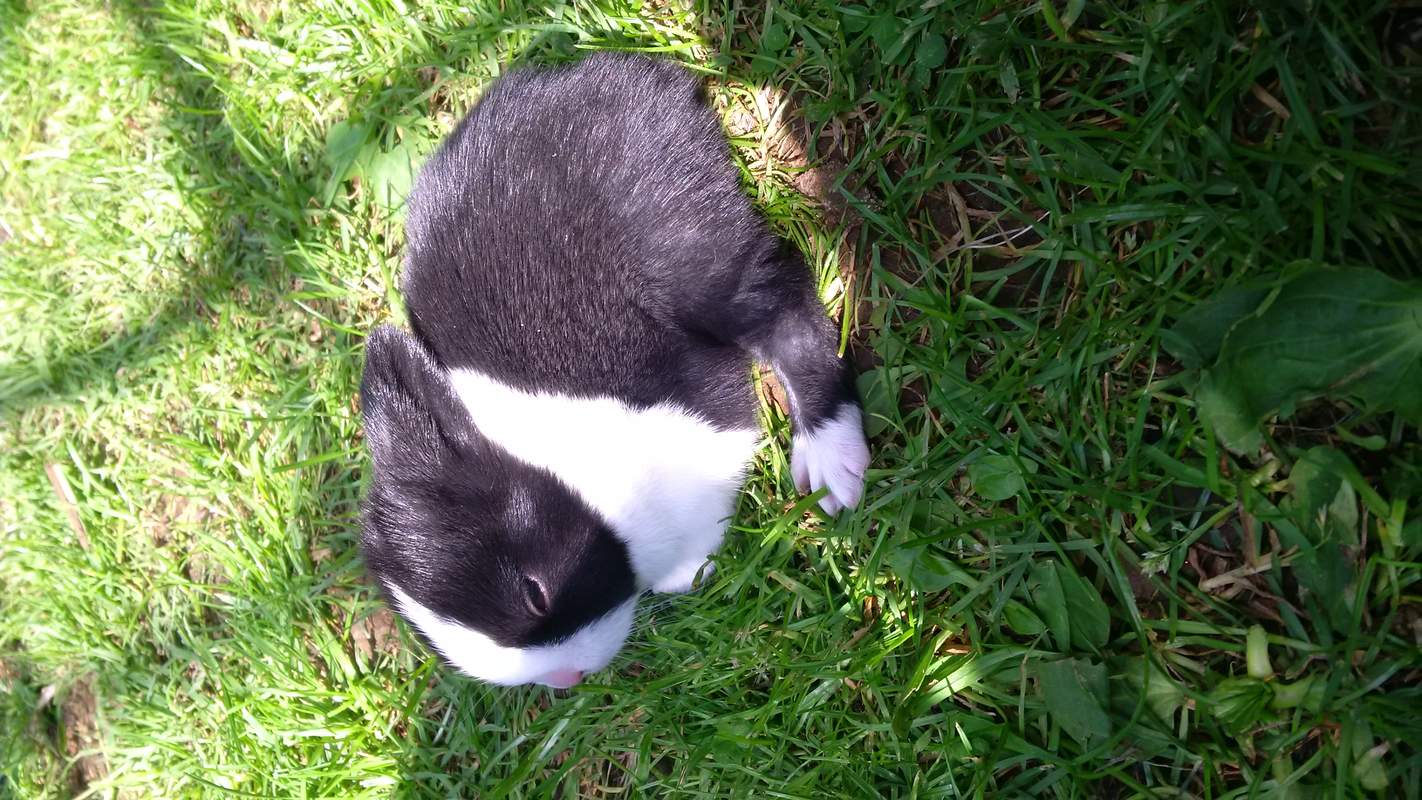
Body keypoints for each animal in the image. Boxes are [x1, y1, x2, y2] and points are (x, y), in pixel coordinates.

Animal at [359, 52, 870, 690]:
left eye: (536, 593)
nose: (566, 679)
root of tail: (630, 75)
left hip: (691, 250)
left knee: (783, 311)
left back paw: (831, 464)